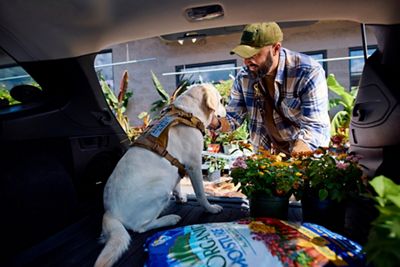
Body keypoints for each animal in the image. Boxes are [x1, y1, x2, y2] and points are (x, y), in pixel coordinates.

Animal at [93, 84, 225, 267]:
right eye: (221, 100)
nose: (226, 112)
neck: (187, 111)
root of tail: (110, 212)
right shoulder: (194, 165)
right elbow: (200, 194)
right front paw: (210, 208)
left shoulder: (179, 166)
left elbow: (178, 182)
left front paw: (180, 197)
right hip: (160, 189)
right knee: (140, 227)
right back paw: (170, 219)